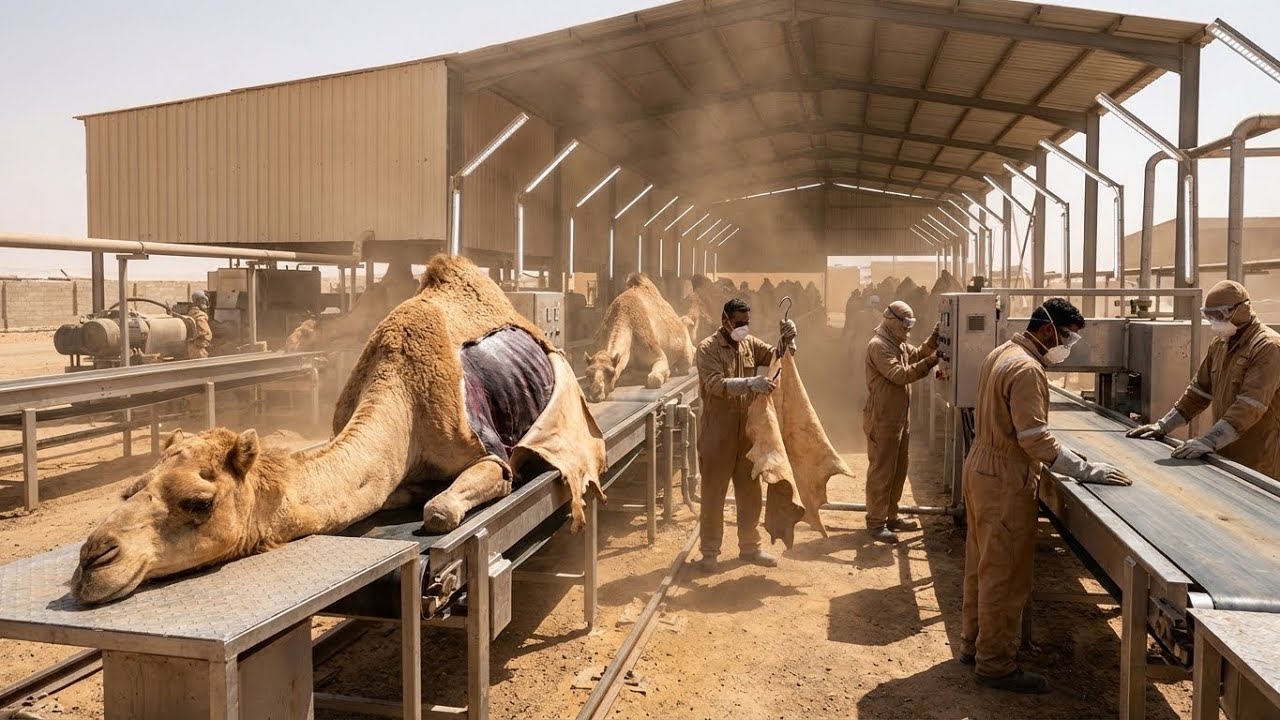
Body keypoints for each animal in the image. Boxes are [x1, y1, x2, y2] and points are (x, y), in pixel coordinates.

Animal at [583, 273, 696, 402]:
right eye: (587, 373)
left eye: (611, 373)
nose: (595, 394)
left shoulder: (658, 354)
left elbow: (654, 379)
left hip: (685, 350)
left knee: (685, 363)